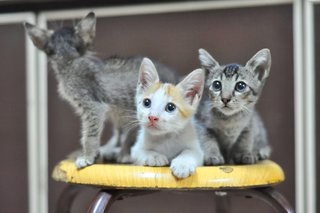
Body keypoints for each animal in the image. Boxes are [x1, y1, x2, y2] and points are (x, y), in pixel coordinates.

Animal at [24, 12, 178, 168]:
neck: (69, 60)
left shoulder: (92, 106)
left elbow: (89, 135)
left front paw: (87, 156)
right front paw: (95, 154)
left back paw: (124, 154)